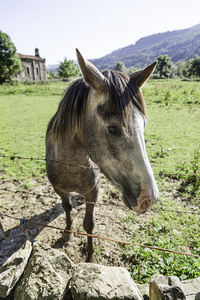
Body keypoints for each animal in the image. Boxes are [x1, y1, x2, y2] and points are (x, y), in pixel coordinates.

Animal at [45, 48, 159, 260]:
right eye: (113, 129)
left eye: (144, 125)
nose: (149, 199)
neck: (70, 166)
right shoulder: (60, 190)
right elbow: (67, 208)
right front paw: (67, 232)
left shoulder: (93, 192)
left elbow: (89, 224)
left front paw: (90, 257)